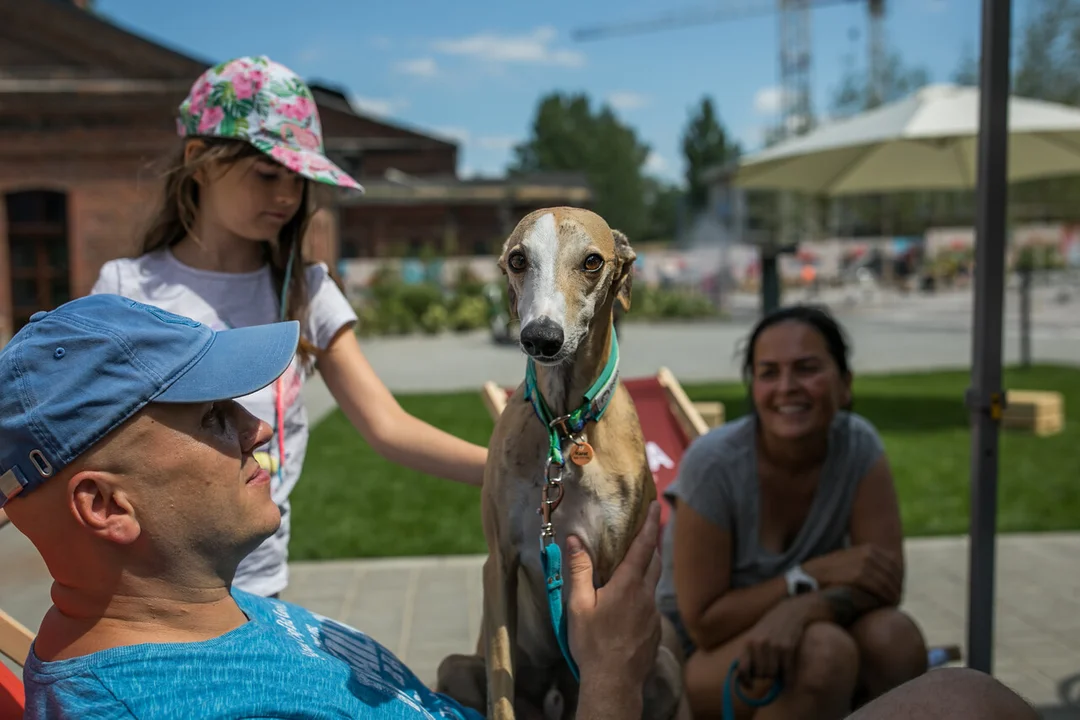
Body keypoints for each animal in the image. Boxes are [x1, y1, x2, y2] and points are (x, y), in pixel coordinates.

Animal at [432, 208, 678, 720]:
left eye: (592, 261)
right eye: (517, 259)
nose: (541, 339)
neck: (564, 429)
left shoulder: (614, 576)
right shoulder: (499, 564)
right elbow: (500, 684)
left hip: (665, 667)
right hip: (456, 666)